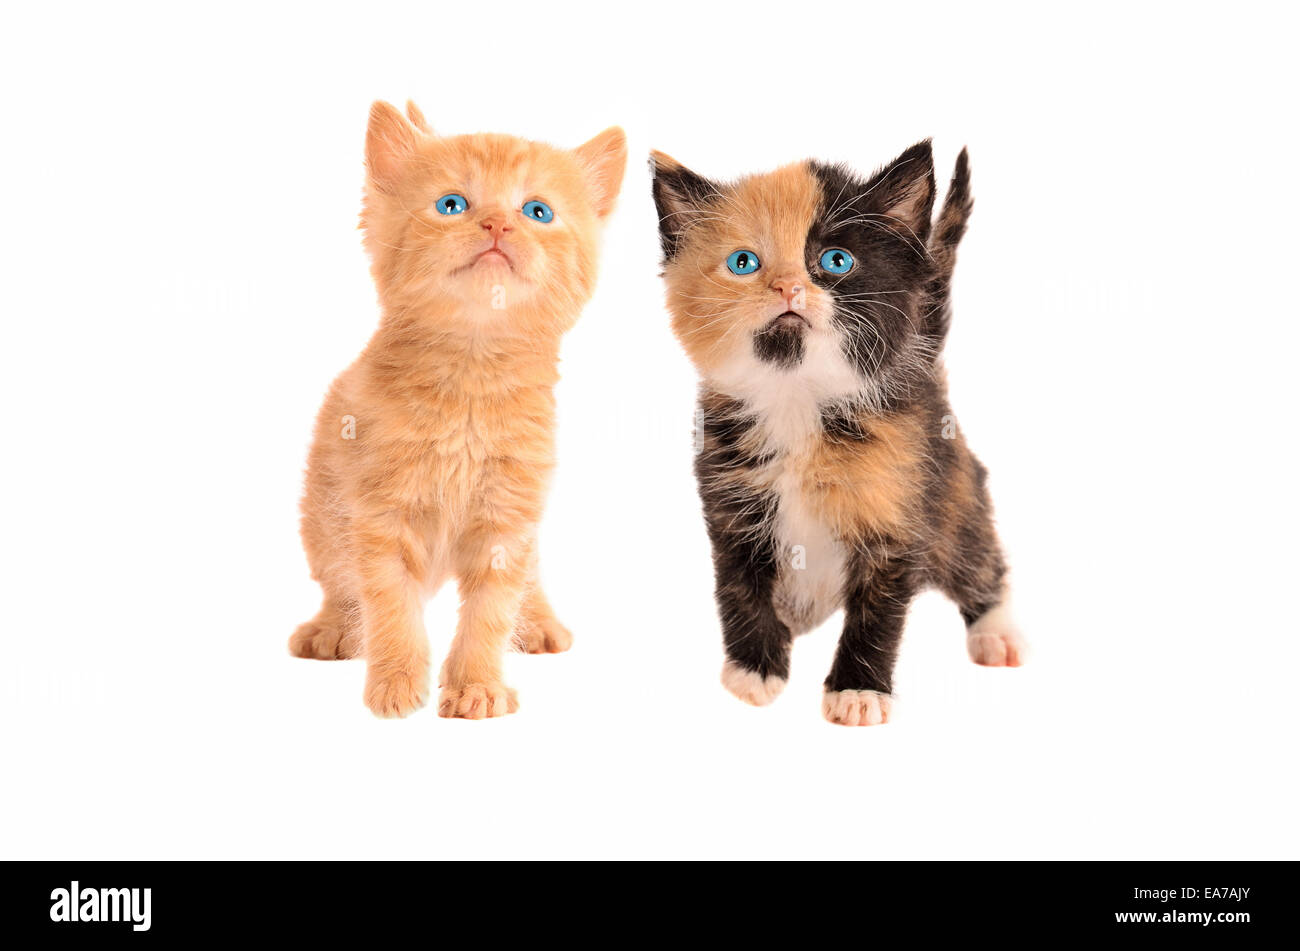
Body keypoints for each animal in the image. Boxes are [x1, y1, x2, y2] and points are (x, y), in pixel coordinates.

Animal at [292, 100, 626, 717]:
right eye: (453, 205)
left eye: (538, 211)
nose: (496, 224)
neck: (472, 374)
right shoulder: (380, 514)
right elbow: (388, 603)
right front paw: (396, 682)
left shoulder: (508, 516)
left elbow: (491, 612)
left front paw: (476, 686)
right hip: (322, 513)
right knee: (338, 581)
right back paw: (333, 628)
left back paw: (538, 621)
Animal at [650, 140, 1024, 722]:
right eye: (743, 263)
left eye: (835, 261)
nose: (787, 286)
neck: (797, 398)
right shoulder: (730, 501)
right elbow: (738, 587)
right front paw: (755, 669)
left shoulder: (898, 507)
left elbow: (878, 611)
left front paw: (858, 690)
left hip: (954, 489)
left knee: (975, 553)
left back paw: (996, 630)